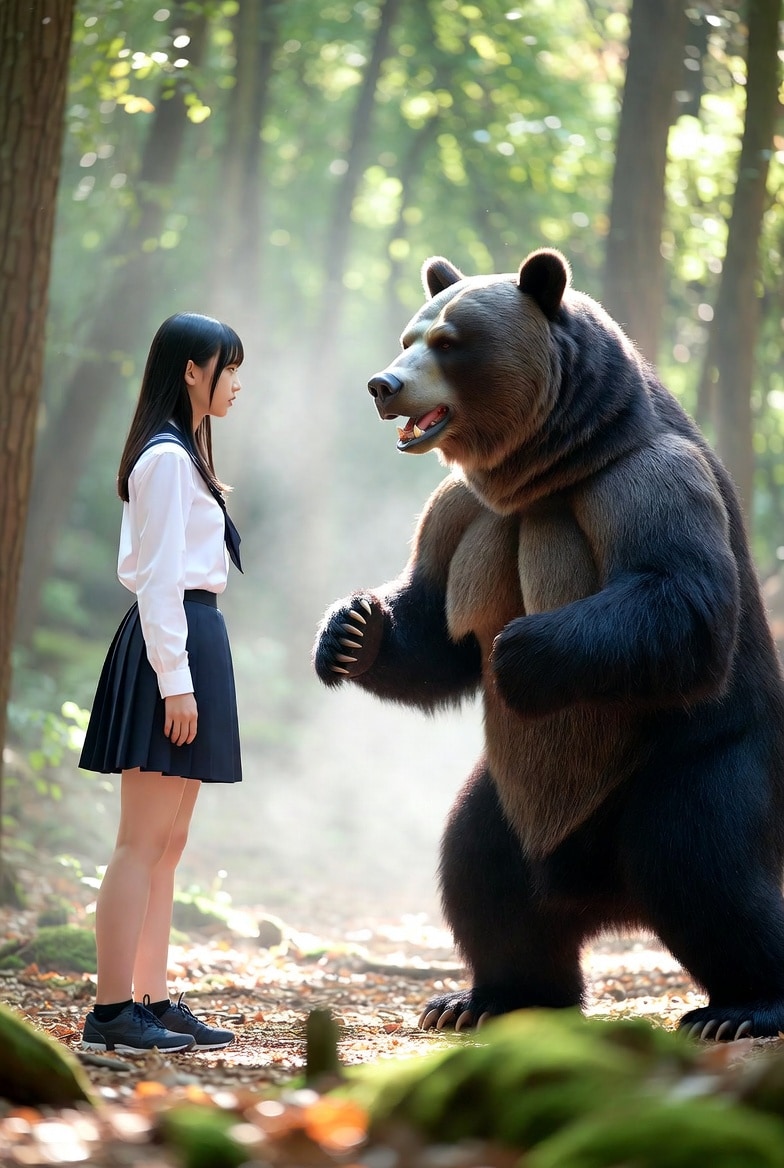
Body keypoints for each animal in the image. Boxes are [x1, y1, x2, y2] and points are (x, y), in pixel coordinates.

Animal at [313, 247, 784, 1041]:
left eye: (449, 342)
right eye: (411, 335)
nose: (385, 385)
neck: (548, 470)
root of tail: (604, 898)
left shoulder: (643, 483)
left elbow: (678, 600)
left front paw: (520, 649)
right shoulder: (462, 514)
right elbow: (433, 626)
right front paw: (351, 629)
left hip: (689, 758)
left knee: (704, 865)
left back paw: (740, 1008)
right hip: (510, 795)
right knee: (481, 872)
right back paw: (485, 997)